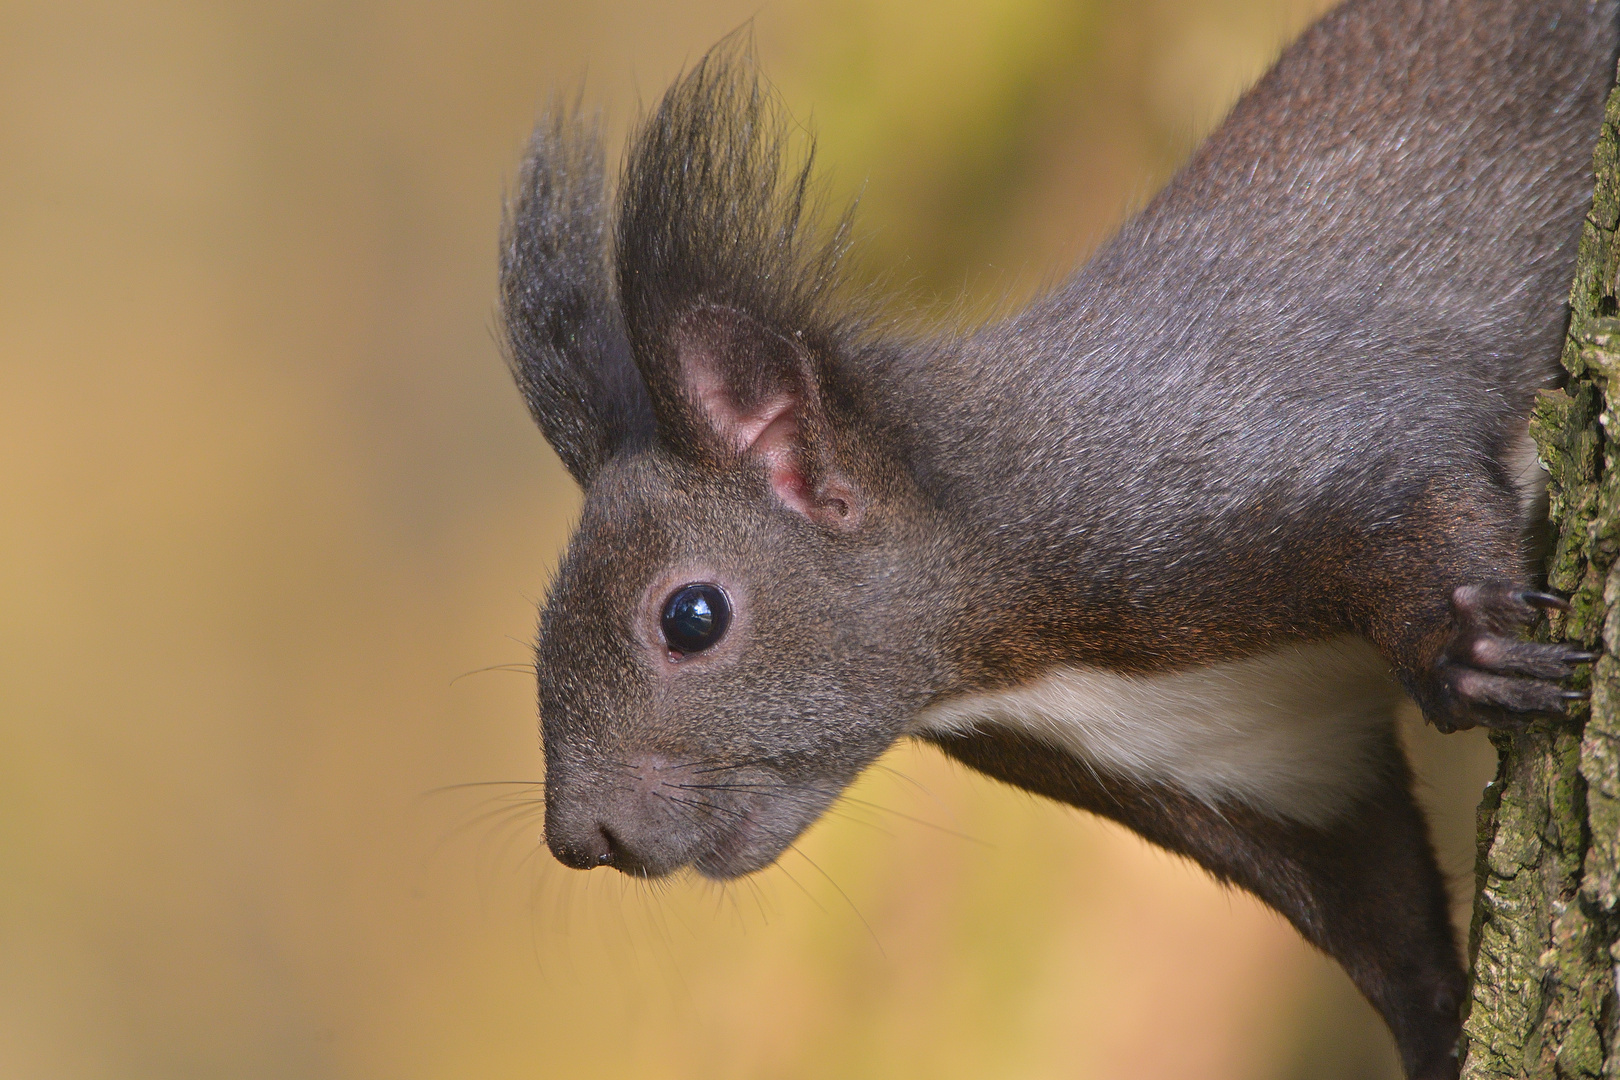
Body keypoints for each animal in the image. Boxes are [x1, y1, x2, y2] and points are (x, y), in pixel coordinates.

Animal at [495, 4, 1620, 1075]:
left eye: (692, 617)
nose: (581, 839)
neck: (1020, 654)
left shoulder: (1265, 445)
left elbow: (1421, 497)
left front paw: (1474, 652)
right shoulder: (1266, 770)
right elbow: (1380, 919)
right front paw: (1444, 1034)